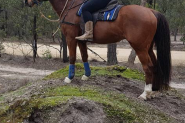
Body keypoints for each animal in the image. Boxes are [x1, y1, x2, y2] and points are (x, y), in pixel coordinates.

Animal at [25, 0, 171, 100]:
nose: (27, 2)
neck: (70, 8)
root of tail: (151, 11)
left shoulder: (71, 38)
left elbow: (72, 57)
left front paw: (69, 78)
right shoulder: (81, 40)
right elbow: (84, 56)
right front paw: (86, 75)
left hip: (140, 48)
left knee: (148, 67)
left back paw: (145, 93)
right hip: (148, 48)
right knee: (156, 65)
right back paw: (154, 90)